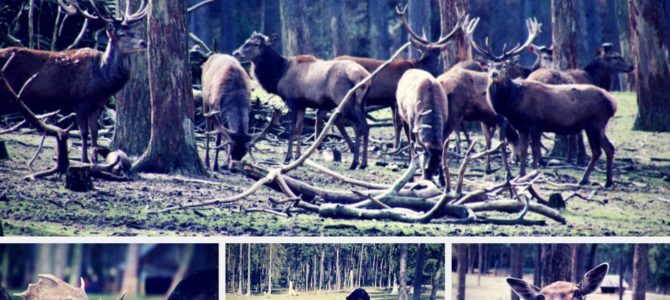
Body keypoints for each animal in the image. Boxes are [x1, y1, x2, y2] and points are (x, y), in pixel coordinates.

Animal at [0, 0, 148, 162]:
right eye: (122, 34)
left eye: (134, 32)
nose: (144, 43)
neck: (102, 79)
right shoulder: (79, 101)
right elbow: (84, 132)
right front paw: (85, 159)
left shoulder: (97, 104)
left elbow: (94, 132)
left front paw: (95, 159)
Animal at [235, 32, 372, 171]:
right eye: (246, 40)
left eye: (256, 44)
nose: (236, 53)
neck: (279, 74)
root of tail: (364, 78)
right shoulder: (302, 105)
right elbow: (299, 128)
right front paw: (298, 156)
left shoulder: (292, 101)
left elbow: (292, 129)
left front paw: (288, 157)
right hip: (360, 104)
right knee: (366, 126)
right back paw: (363, 163)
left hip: (344, 100)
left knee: (358, 126)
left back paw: (354, 163)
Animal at [336, 4, 468, 150]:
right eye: (425, 51)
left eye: (436, 52)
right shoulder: (395, 99)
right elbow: (399, 124)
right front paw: (396, 146)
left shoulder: (391, 101)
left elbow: (395, 124)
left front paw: (396, 145)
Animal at [470, 17, 616, 186]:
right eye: (488, 66)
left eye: (504, 65)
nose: (493, 74)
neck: (515, 103)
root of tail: (613, 103)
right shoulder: (522, 127)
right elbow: (524, 152)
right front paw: (521, 176)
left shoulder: (534, 123)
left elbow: (534, 151)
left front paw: (532, 175)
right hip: (599, 126)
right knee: (609, 148)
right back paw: (607, 181)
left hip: (594, 124)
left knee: (598, 151)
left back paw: (584, 179)